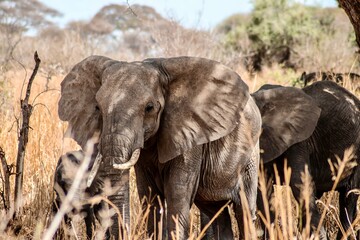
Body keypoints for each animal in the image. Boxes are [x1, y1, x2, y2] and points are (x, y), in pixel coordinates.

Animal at [57, 55, 320, 239]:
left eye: (150, 108)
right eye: (98, 108)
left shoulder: (190, 139)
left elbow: (177, 195)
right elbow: (149, 198)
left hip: (250, 156)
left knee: (244, 210)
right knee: (216, 215)